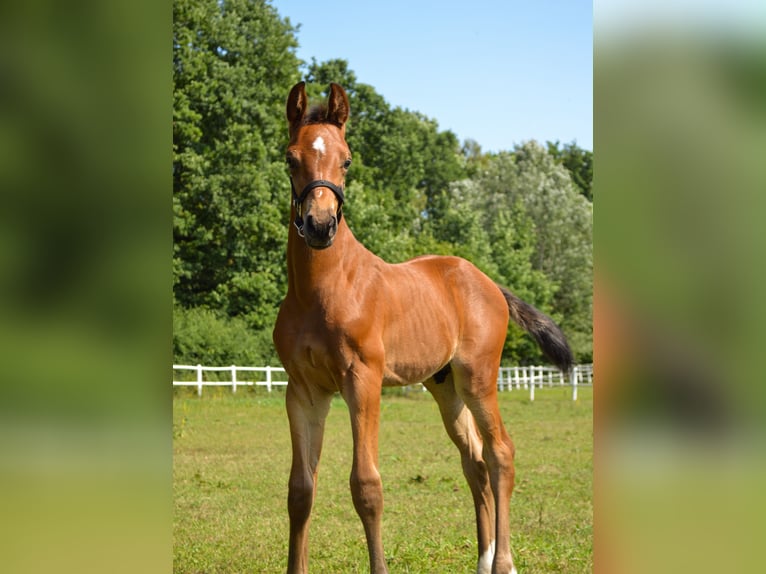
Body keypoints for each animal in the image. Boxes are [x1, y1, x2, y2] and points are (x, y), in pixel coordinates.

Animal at [273, 82, 573, 574]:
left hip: (478, 379)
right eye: (290, 157)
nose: (319, 226)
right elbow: (300, 491)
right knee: (474, 462)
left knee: (500, 454)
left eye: (347, 159)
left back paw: (504, 562)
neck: (321, 290)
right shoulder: (303, 390)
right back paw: (483, 559)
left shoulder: (363, 381)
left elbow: (366, 486)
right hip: (445, 387)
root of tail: (488, 282)